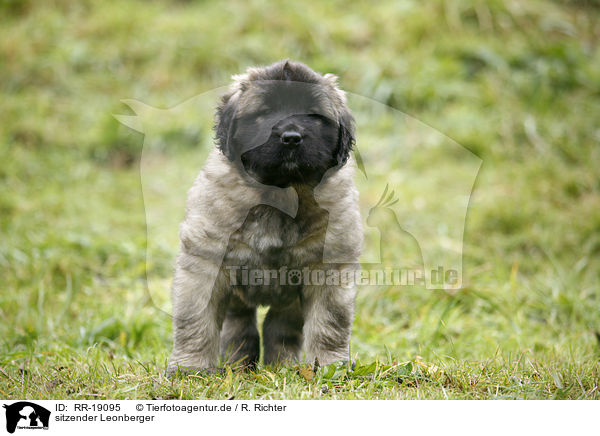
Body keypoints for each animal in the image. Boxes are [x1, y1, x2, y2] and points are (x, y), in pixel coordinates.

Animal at [169, 60, 364, 374]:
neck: (281, 193)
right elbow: (196, 323)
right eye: (264, 113)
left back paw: (280, 366)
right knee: (240, 327)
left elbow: (329, 325)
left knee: (280, 328)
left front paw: (331, 365)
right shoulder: (205, 265)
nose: (291, 138)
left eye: (314, 115)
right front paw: (191, 368)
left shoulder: (328, 269)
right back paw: (240, 365)